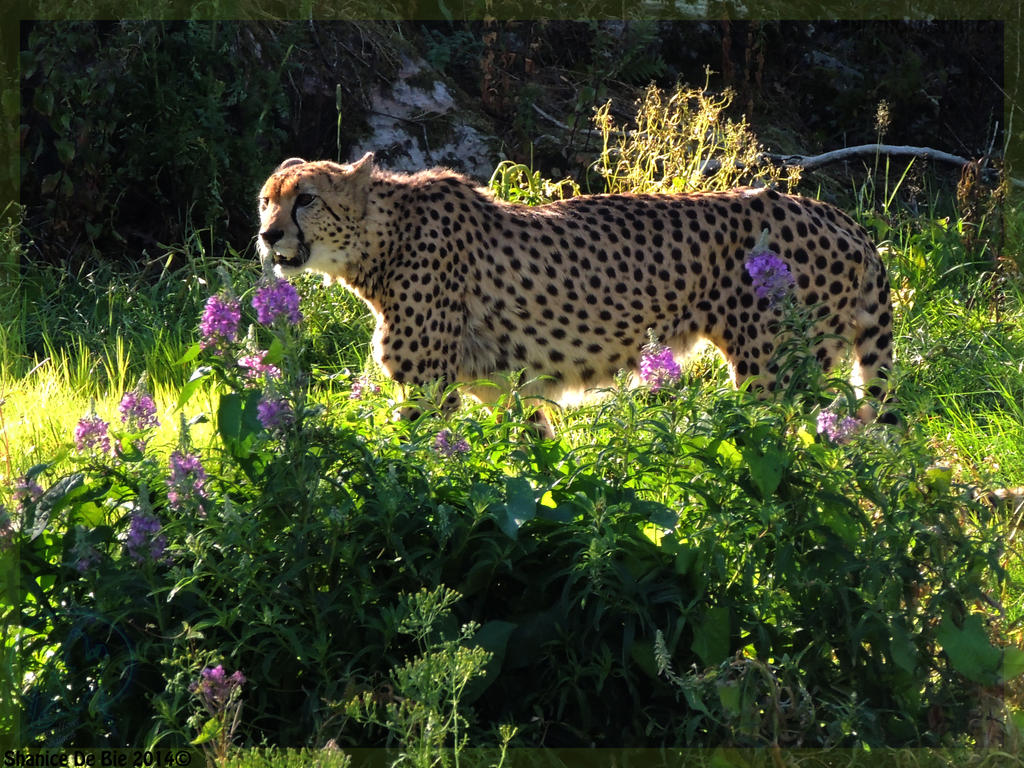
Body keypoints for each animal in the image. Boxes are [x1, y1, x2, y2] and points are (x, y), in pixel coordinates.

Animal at [260, 154, 892, 434]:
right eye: (267, 199)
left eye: (306, 199)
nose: (267, 235)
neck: (381, 238)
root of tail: (844, 219)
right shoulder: (507, 388)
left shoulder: (429, 390)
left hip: (773, 375)